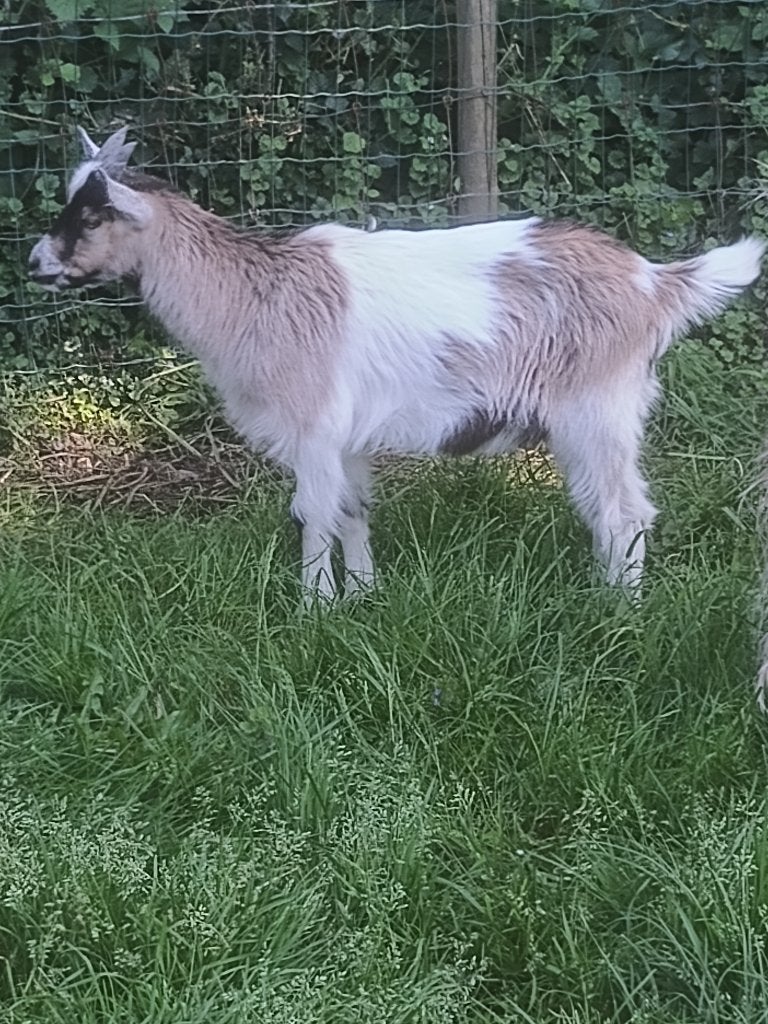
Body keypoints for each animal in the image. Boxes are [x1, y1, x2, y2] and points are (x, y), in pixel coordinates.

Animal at [29, 127, 765, 600]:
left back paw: (619, 611)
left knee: (623, 511)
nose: (35, 263)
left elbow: (312, 514)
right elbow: (352, 509)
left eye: (92, 217)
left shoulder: (314, 428)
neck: (255, 295)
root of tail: (653, 282)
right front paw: (362, 595)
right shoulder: (347, 437)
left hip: (599, 407)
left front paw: (314, 608)